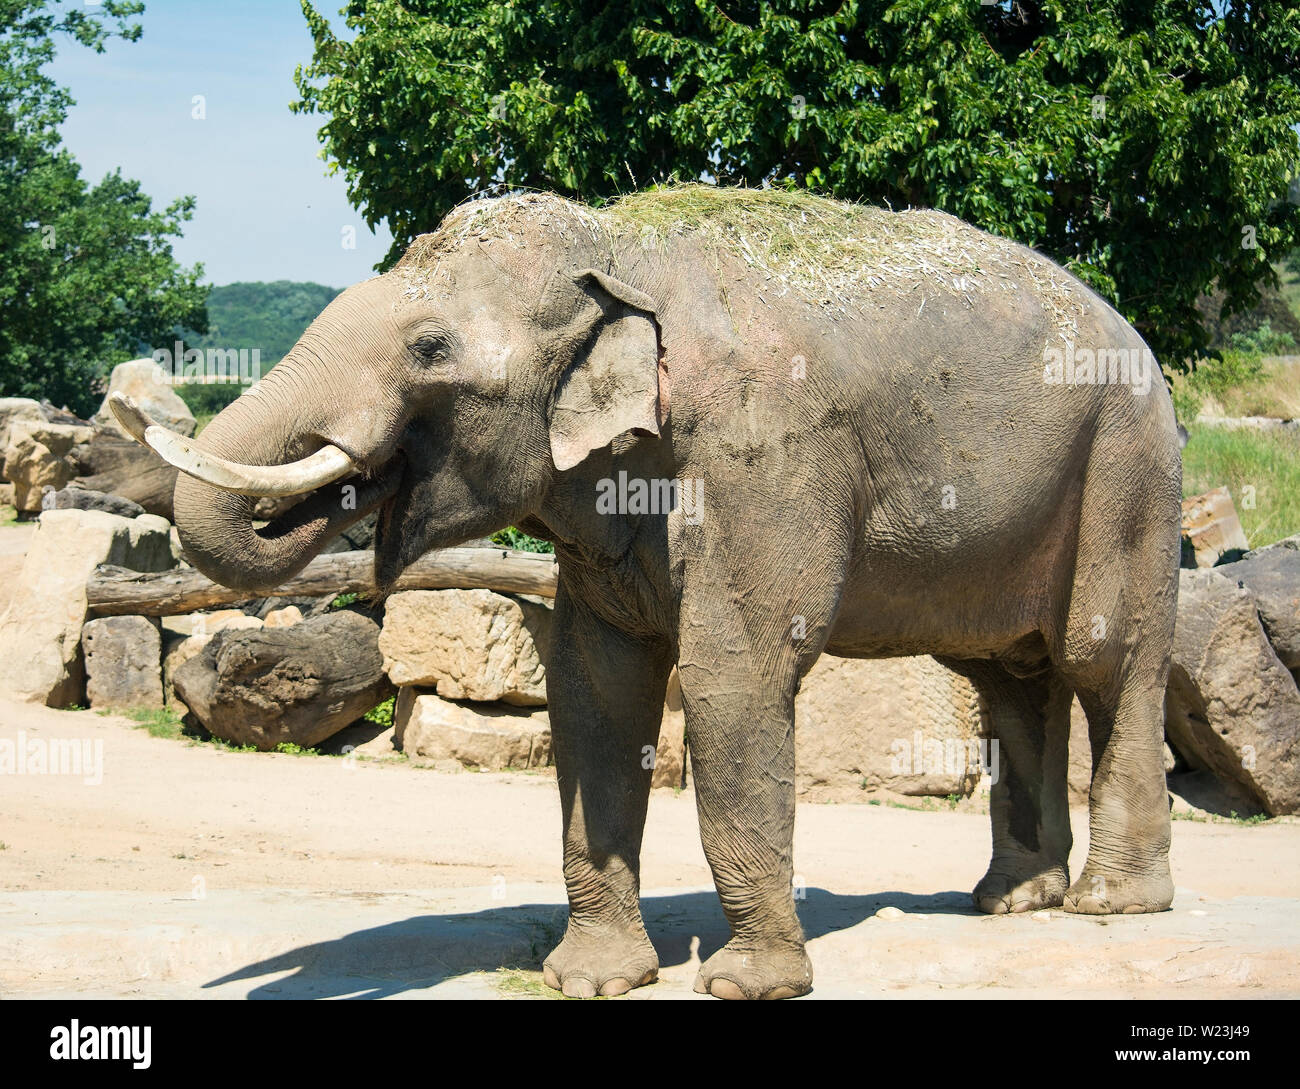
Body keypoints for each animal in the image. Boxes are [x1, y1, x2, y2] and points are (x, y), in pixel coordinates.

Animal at [112, 185, 1181, 1000]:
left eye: (429, 349)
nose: (130, 400)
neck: (620, 247)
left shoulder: (764, 453)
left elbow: (732, 677)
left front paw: (747, 986)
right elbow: (595, 687)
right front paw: (590, 978)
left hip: (1128, 463)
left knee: (1102, 657)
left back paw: (1111, 903)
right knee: (1009, 672)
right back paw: (1012, 900)